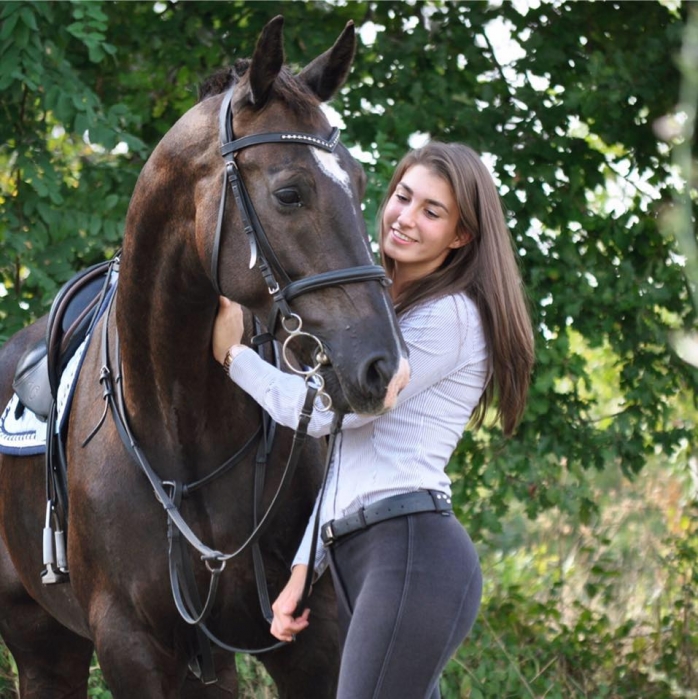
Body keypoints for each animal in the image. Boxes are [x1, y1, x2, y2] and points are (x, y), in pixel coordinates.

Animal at [0, 17, 408, 699]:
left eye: (360, 185)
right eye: (289, 193)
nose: (385, 367)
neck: (179, 422)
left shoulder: (314, 636)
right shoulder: (130, 647)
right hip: (42, 647)